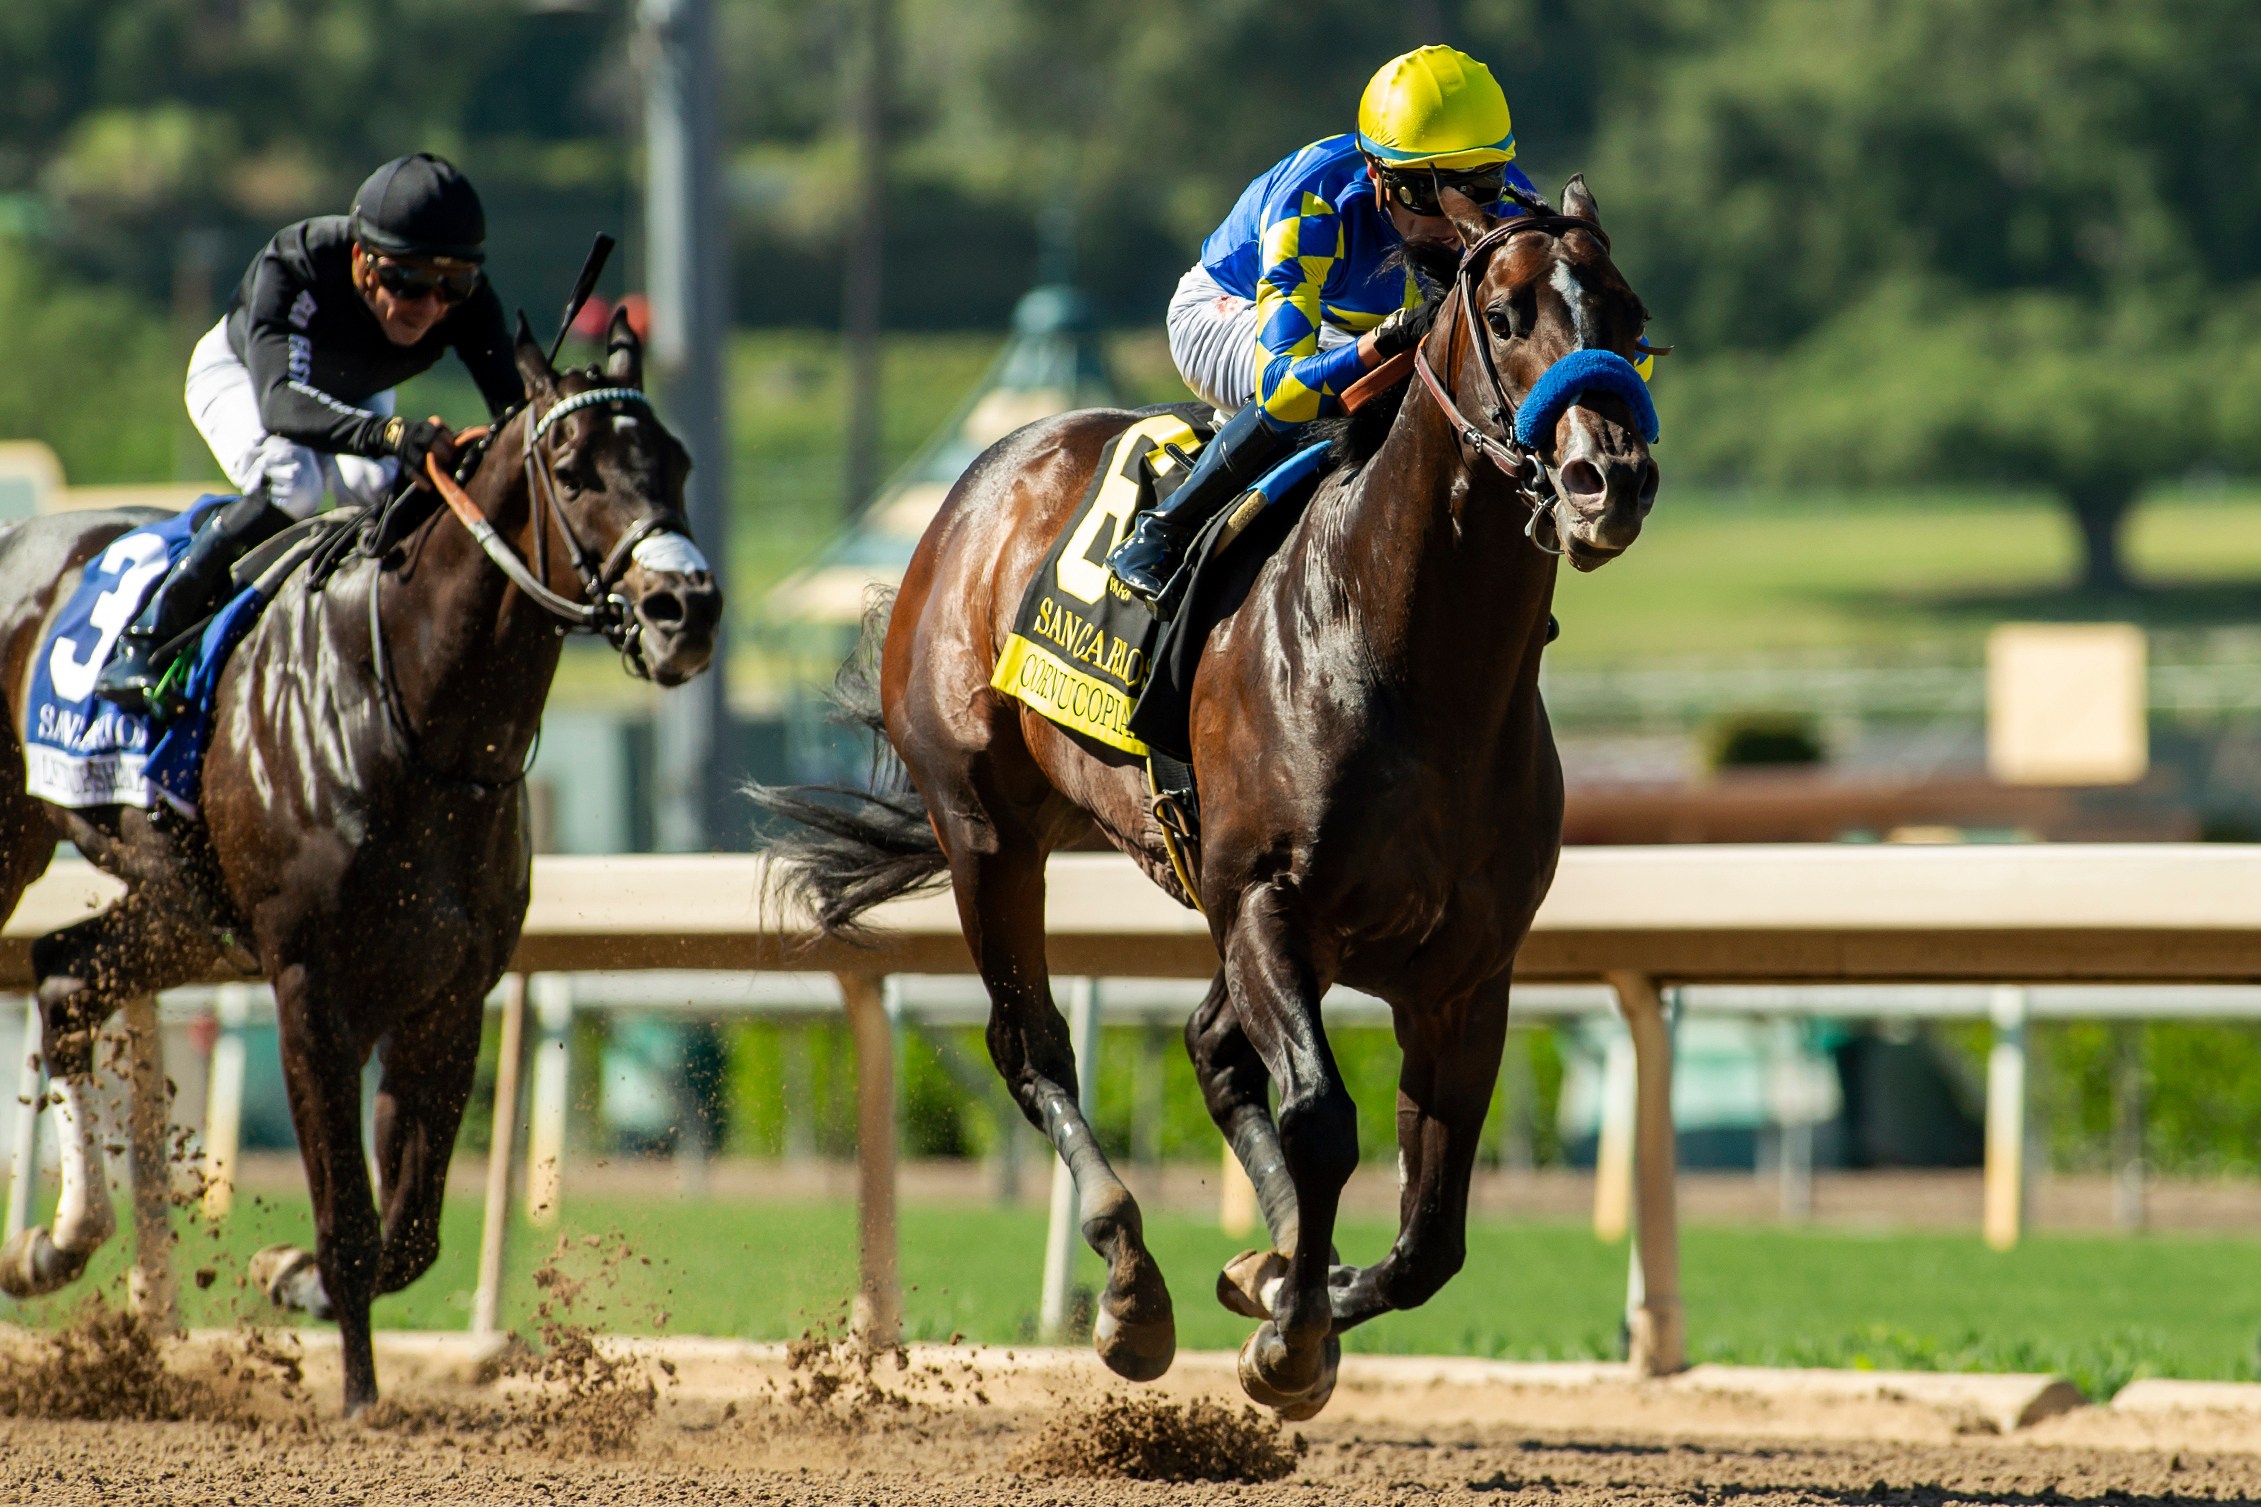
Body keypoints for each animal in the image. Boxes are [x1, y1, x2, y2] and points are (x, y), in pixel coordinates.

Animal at [0, 308, 720, 1415]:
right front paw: (358, 1398)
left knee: (65, 973)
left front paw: (288, 1276)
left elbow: (409, 1232)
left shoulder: (448, 993)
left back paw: (56, 1242)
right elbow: (350, 1221)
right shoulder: (310, 986)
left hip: (186, 909)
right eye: (572, 468)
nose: (685, 607)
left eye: (675, 460)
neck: (412, 710)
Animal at [755, 177, 1659, 1418]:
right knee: (1030, 1042)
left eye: (1628, 313)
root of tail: (982, 480)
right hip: (988, 830)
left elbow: (1430, 1236)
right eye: (1506, 315)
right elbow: (1320, 1119)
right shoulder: (1271, 903)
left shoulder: (1464, 971)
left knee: (1207, 1043)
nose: (1604, 480)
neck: (1412, 660)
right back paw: (1132, 1286)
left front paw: (1288, 1287)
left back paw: (1262, 1259)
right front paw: (1288, 1333)